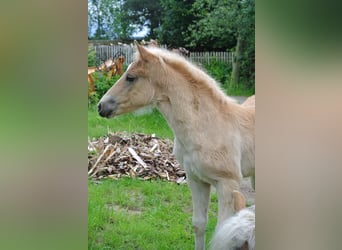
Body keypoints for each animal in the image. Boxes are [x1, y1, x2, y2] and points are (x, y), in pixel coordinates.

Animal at [96, 43, 254, 250]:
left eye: (130, 77)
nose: (101, 106)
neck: (208, 127)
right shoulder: (196, 180)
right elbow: (199, 224)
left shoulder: (227, 184)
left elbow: (222, 230)